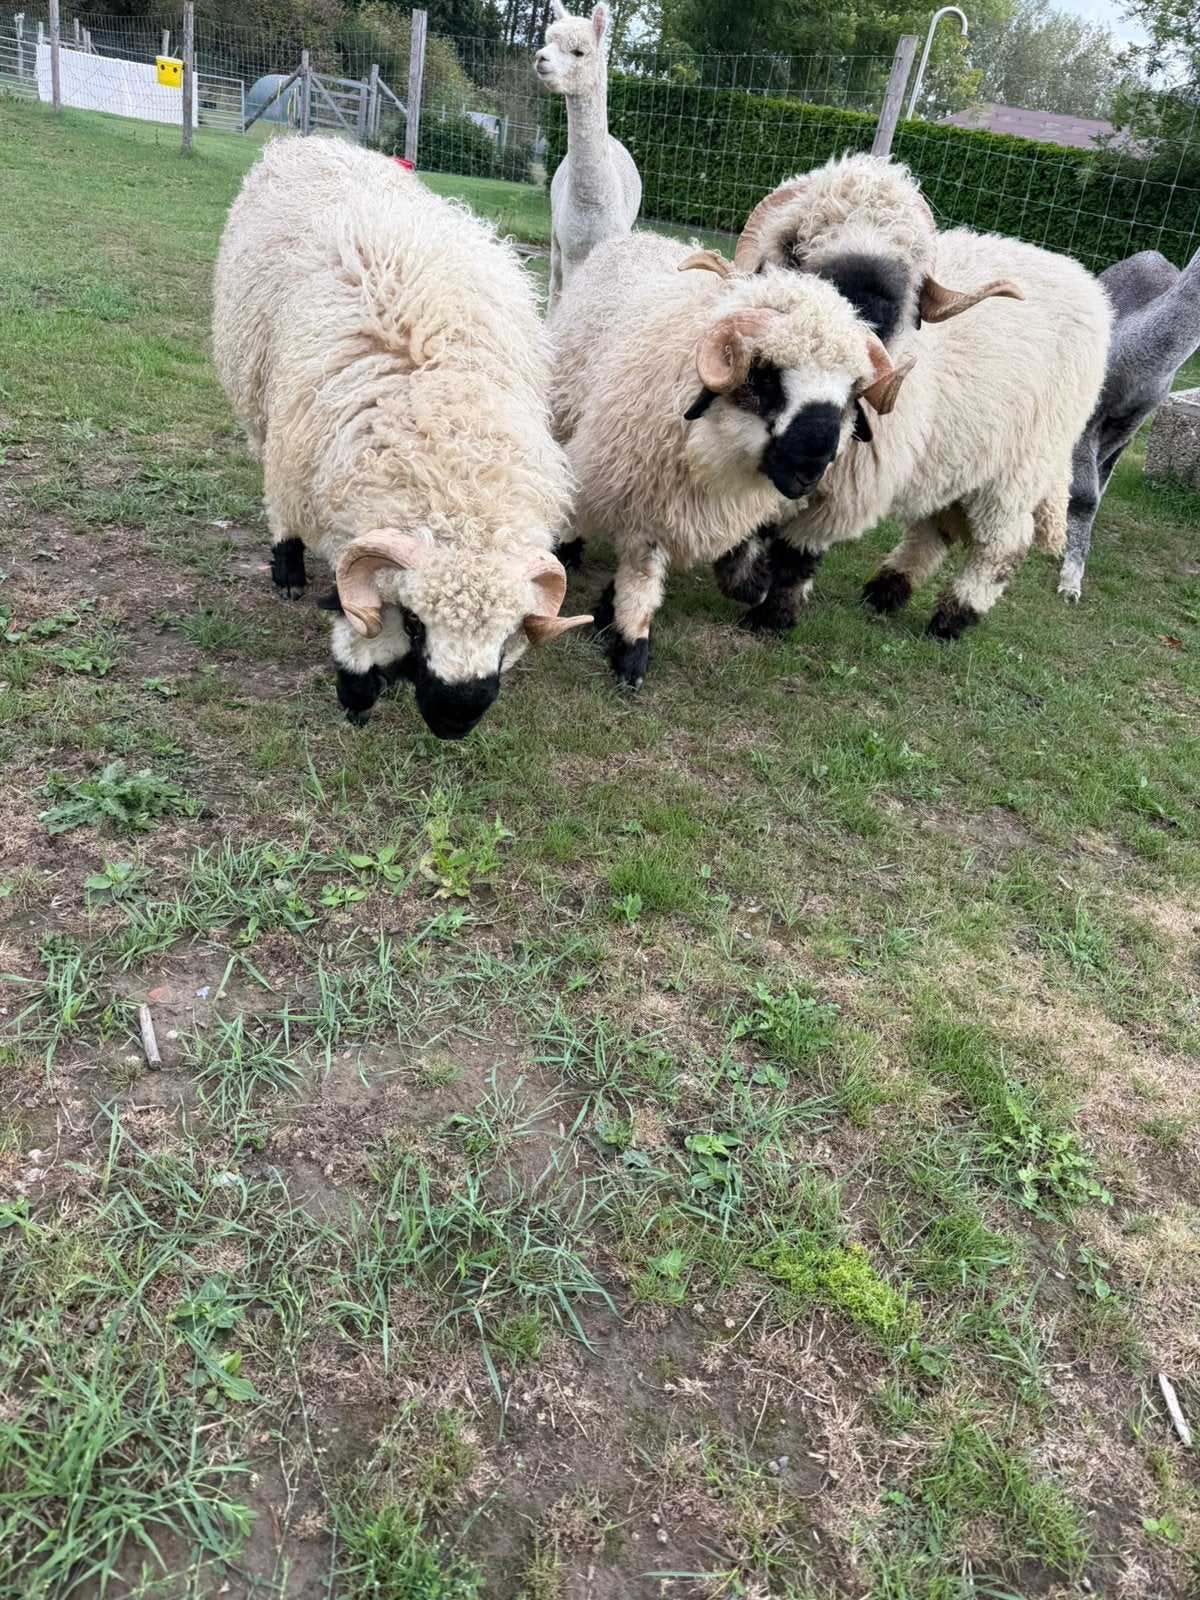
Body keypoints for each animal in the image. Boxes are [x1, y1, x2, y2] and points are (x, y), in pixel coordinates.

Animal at [211, 135, 589, 740]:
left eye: (507, 632)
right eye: (414, 624)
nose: (454, 720)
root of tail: (313, 140)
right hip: (261, 400)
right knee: (276, 493)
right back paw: (287, 567)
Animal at [535, 1, 642, 313]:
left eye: (578, 52)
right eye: (549, 41)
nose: (540, 57)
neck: (592, 203)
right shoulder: (572, 249)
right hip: (555, 235)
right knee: (555, 286)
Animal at [548, 230, 911, 689]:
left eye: (851, 394)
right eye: (765, 376)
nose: (810, 469)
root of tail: (642, 235)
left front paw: (750, 582)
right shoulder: (643, 491)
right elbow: (643, 572)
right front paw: (631, 647)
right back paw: (567, 547)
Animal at [722, 175, 1111, 637]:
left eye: (911, 258)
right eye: (800, 242)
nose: (868, 312)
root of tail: (1082, 277)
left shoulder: (842, 493)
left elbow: (794, 555)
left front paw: (771, 616)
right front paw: (744, 579)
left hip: (1018, 468)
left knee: (1005, 545)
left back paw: (951, 619)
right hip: (959, 458)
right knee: (934, 528)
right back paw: (886, 590)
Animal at [1058, 246, 1200, 601]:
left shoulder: (1132, 421)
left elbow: (1095, 485)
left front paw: (1073, 565)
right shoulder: (1091, 410)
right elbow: (1085, 495)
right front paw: (1070, 582)